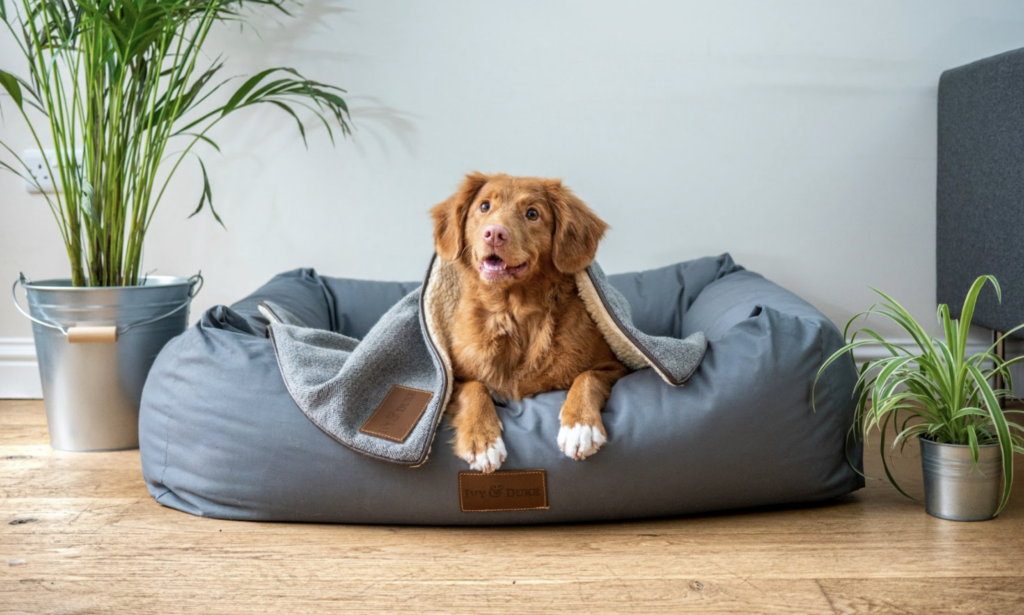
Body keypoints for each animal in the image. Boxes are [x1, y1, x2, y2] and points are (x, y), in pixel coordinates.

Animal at [428, 169, 626, 472]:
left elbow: (587, 377)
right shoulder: (453, 379)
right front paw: (483, 440)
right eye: (484, 207)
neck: (512, 312)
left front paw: (580, 426)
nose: (494, 233)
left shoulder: (615, 366)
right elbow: (474, 388)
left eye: (532, 214)